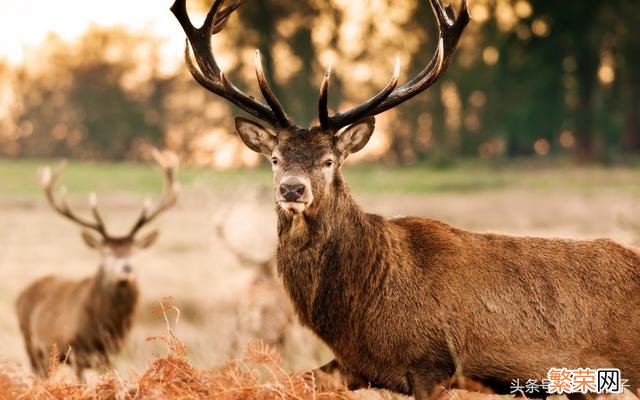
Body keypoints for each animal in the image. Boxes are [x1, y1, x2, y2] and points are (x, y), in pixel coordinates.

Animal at [15, 151, 180, 378]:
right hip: (31, 343)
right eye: (106, 252)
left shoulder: (111, 355)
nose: (127, 268)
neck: (103, 328)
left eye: (133, 251)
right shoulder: (74, 351)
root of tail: (21, 294)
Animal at [172, 0, 640, 398]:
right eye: (274, 158)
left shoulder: (432, 362)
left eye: (328, 160)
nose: (292, 188)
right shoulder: (351, 366)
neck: (359, 313)